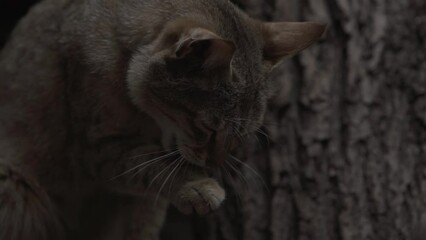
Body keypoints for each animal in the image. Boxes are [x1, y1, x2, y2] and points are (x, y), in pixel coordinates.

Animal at [0, 0, 322, 239]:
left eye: (241, 136)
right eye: (209, 128)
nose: (215, 164)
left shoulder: (140, 206)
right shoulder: (95, 147)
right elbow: (152, 166)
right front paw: (196, 185)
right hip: (16, 186)